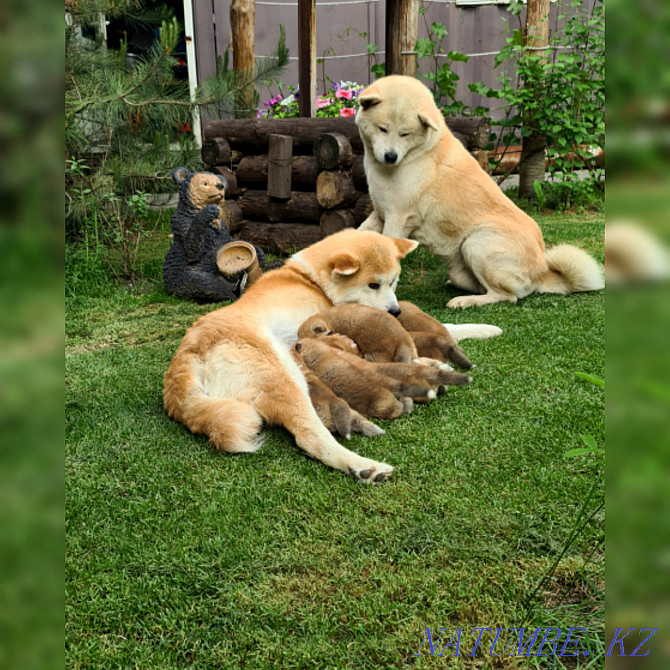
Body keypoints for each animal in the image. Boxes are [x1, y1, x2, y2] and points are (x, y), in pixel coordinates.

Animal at [354, 76, 608, 310]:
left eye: (405, 134)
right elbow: (358, 235)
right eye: (383, 129)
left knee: (506, 296)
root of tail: (543, 273)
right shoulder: (380, 215)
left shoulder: (398, 218)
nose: (390, 156)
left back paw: (464, 301)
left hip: (477, 242)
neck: (416, 152)